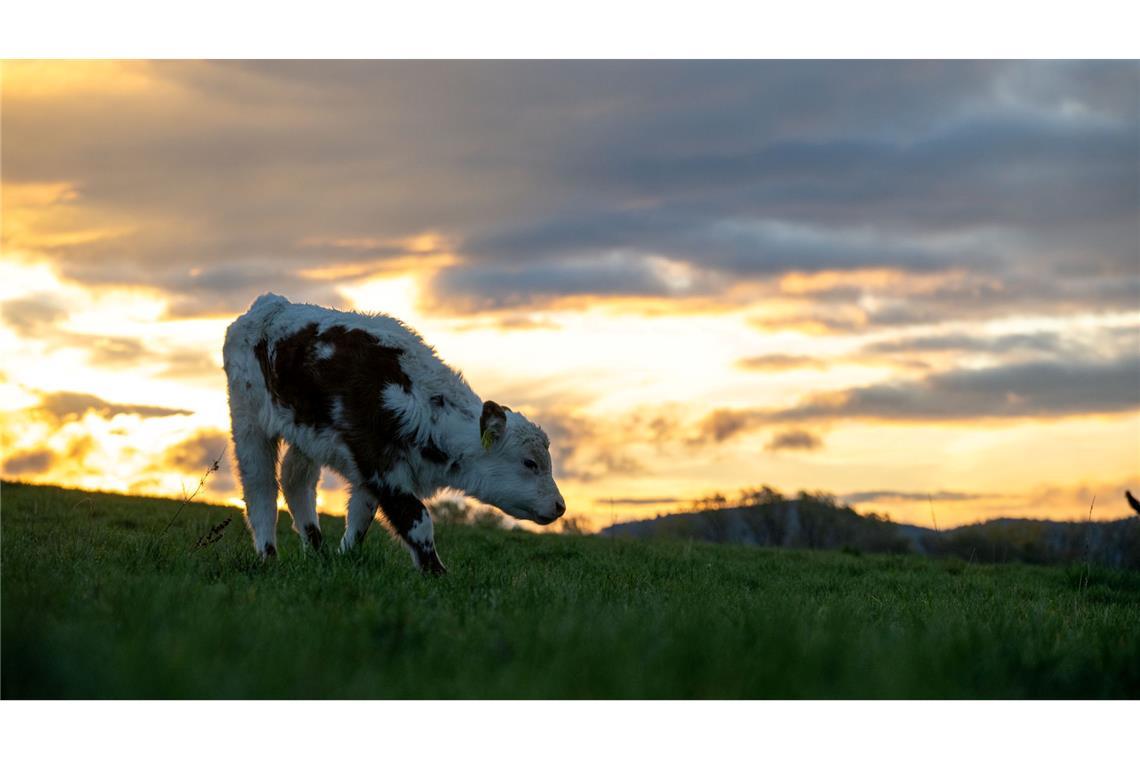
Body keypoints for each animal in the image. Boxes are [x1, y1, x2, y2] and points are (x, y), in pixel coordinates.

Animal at [222, 293, 565, 574]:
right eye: (529, 463)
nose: (560, 506)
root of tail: (269, 304)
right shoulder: (380, 465)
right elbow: (417, 520)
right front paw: (437, 574)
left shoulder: (369, 472)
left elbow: (360, 517)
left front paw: (344, 559)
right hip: (247, 419)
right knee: (260, 487)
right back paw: (268, 556)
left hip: (304, 435)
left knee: (296, 481)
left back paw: (317, 552)